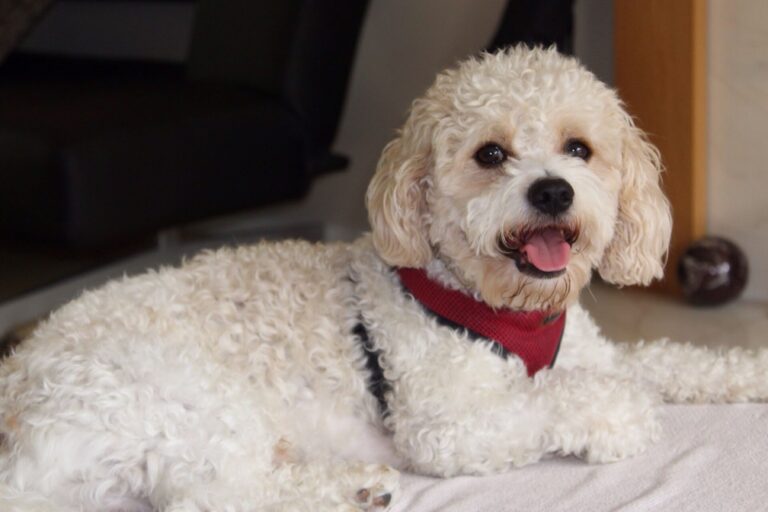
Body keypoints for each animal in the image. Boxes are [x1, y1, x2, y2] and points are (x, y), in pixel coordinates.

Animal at [1, 47, 768, 512]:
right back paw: (355, 489)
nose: (552, 192)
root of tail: (19, 384)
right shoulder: (448, 425)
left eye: (579, 149)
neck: (501, 304)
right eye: (491, 154)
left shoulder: (593, 351)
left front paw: (748, 372)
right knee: (213, 497)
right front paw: (621, 414)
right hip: (188, 401)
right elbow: (574, 395)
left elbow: (670, 358)